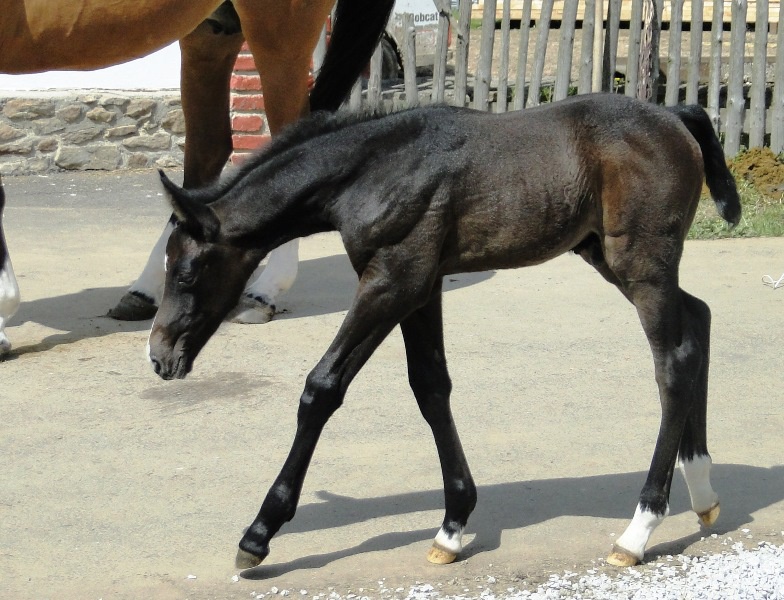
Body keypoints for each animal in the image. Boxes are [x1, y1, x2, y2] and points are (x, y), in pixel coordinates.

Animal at [146, 93, 741, 569]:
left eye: (187, 271)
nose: (160, 355)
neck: (372, 169)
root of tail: (676, 115)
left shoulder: (391, 282)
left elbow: (322, 388)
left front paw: (259, 533)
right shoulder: (423, 286)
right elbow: (430, 387)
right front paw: (452, 527)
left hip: (640, 263)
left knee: (673, 363)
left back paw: (638, 531)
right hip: (608, 256)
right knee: (699, 321)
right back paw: (704, 490)